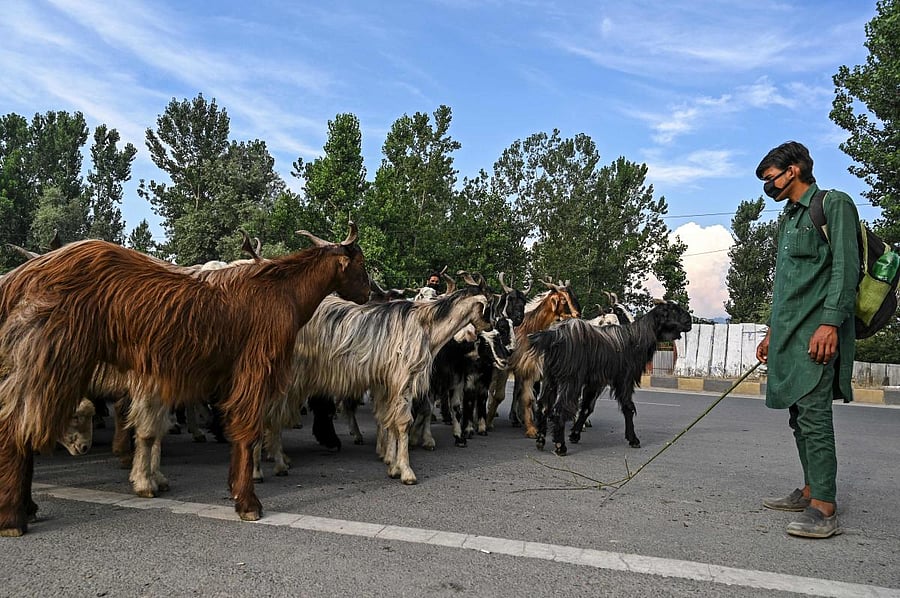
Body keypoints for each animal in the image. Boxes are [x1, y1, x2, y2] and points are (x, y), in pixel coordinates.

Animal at [0, 225, 369, 536]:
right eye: (361, 263)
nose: (371, 293)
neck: (282, 292)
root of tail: (22, 275)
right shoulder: (254, 367)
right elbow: (247, 430)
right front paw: (248, 503)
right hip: (52, 355)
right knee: (17, 424)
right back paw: (13, 517)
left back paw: (26, 507)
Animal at [526, 300, 692, 456]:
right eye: (673, 310)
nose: (689, 321)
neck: (635, 339)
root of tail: (555, 335)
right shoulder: (624, 378)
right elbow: (628, 407)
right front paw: (633, 439)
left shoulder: (595, 382)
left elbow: (586, 408)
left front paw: (575, 434)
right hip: (571, 379)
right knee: (559, 409)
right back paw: (560, 447)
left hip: (550, 378)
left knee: (543, 406)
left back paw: (541, 440)